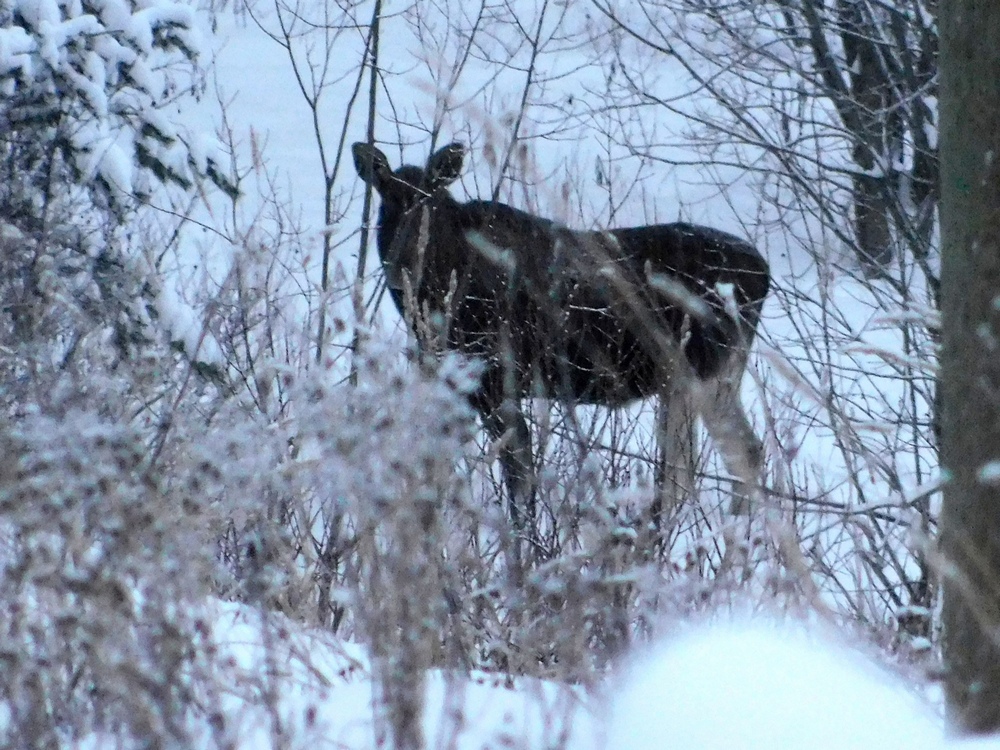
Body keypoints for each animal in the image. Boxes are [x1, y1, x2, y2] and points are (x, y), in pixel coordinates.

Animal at [354, 141, 772, 548]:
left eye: (431, 202)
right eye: (385, 202)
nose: (402, 263)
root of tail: (763, 274)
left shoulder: (498, 380)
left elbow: (519, 482)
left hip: (694, 372)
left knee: (684, 474)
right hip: (716, 377)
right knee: (744, 452)